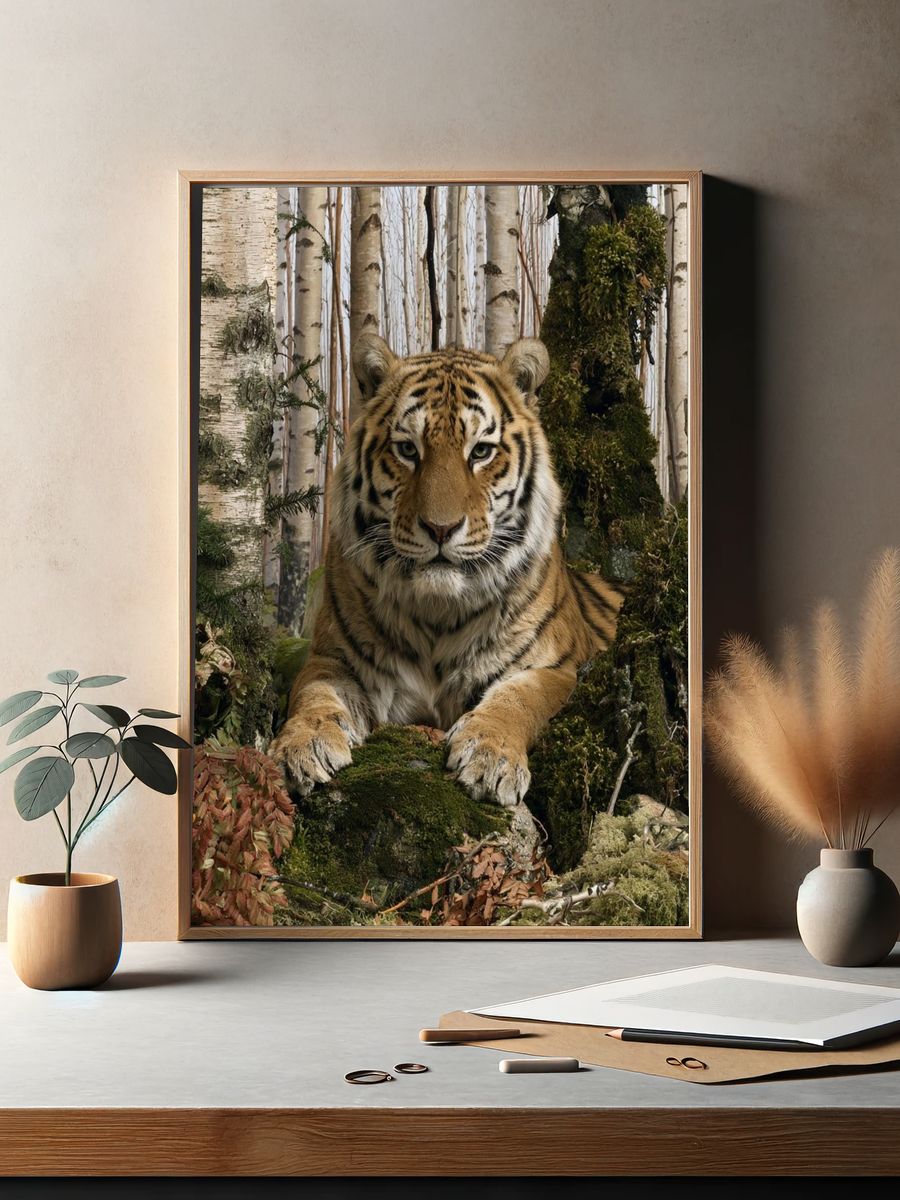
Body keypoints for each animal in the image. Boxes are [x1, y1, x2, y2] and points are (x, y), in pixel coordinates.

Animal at [270, 332, 622, 807]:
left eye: (481, 452)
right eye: (407, 449)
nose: (441, 528)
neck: (437, 612)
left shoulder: (558, 669)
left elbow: (518, 698)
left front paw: (491, 757)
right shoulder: (334, 659)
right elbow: (312, 693)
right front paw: (299, 748)